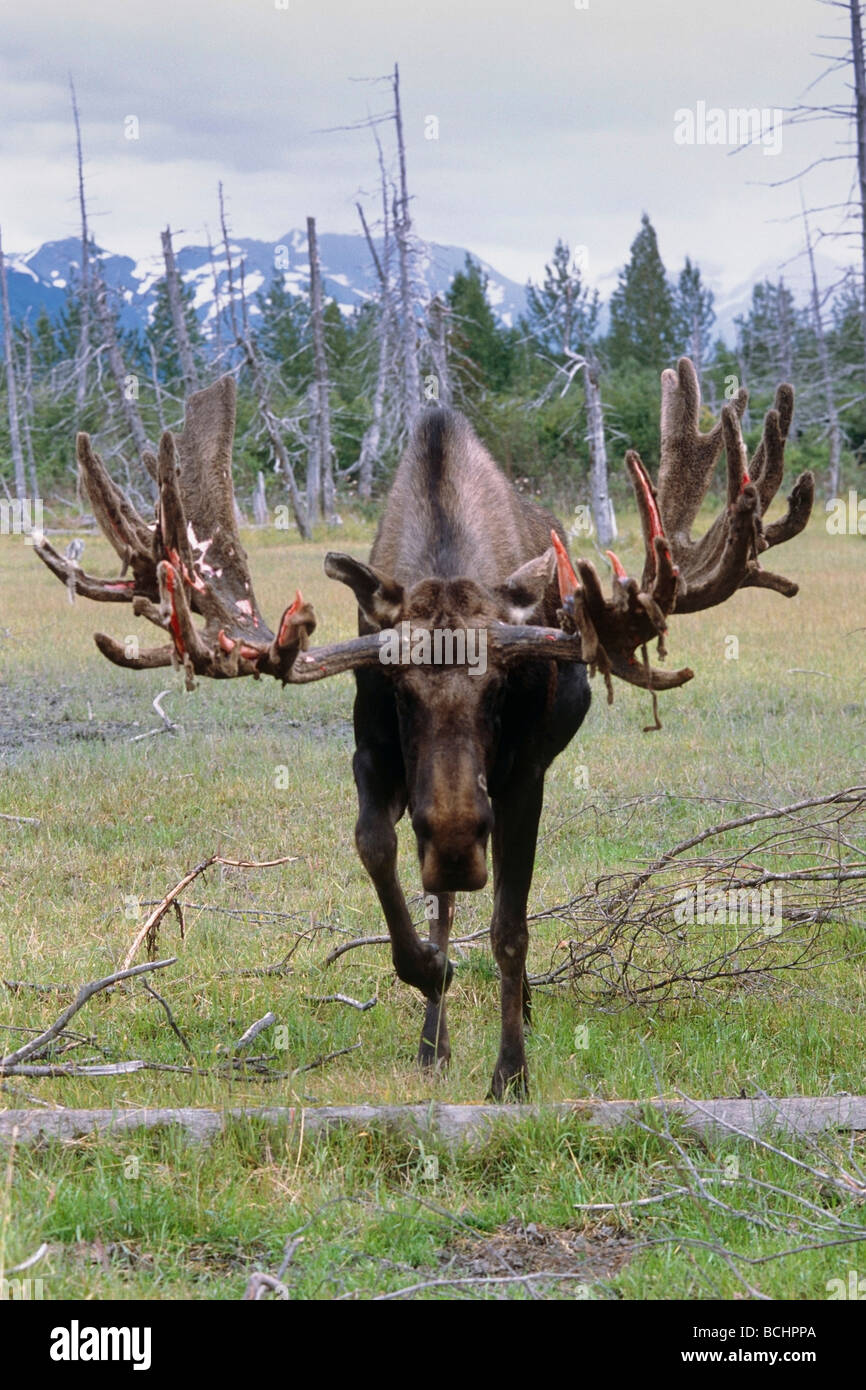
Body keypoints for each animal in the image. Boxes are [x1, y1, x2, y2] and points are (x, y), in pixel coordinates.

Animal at [34, 359, 814, 1098]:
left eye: (498, 686)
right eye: (401, 690)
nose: (456, 840)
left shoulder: (522, 775)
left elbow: (509, 927)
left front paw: (511, 1072)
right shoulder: (374, 753)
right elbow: (378, 850)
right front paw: (428, 973)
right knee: (440, 898)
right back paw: (433, 1037)